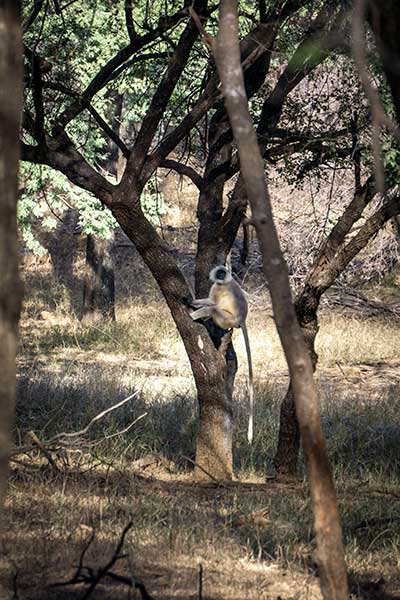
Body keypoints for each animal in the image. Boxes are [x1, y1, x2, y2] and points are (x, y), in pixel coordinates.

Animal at [190, 264, 253, 442]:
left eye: (222, 273)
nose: (220, 276)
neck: (224, 282)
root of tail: (241, 319)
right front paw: (191, 301)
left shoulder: (219, 288)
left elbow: (212, 302)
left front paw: (189, 302)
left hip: (227, 318)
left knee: (213, 309)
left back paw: (193, 316)